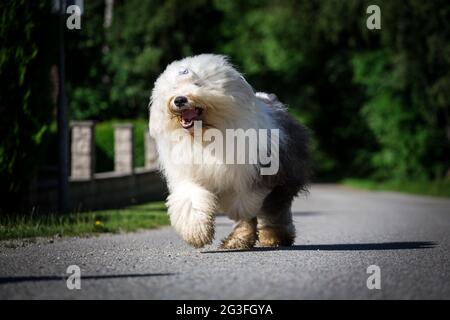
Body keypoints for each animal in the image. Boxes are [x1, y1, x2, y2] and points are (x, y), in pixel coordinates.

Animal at [149, 54, 312, 250]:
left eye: (198, 84)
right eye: (174, 88)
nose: (179, 100)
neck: (204, 135)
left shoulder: (249, 177)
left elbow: (243, 206)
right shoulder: (190, 175)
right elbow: (191, 200)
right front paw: (197, 233)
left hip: (283, 177)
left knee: (273, 210)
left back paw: (272, 237)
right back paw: (240, 240)